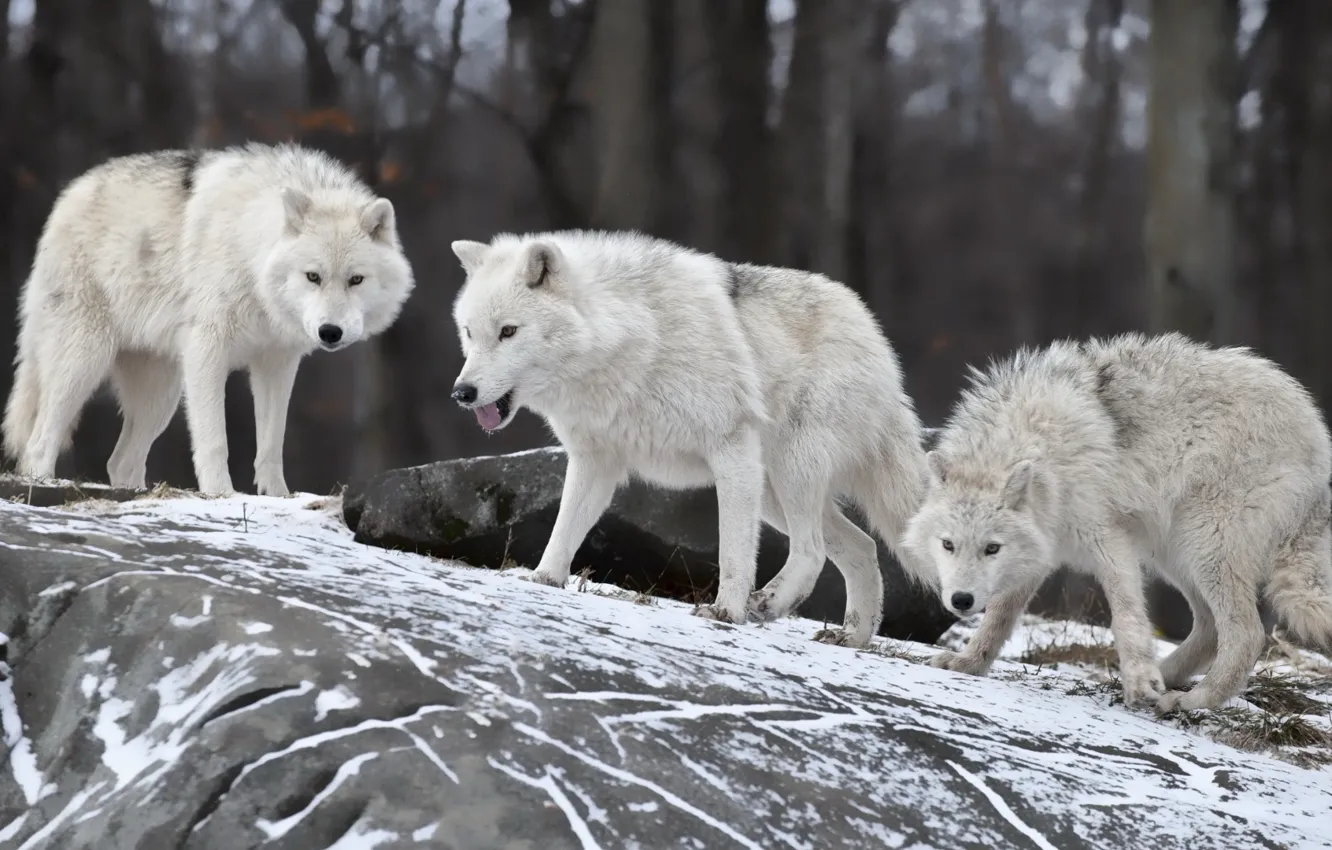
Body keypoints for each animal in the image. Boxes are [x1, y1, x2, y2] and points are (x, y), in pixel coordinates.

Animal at [2, 143, 415, 496]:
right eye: (313, 276)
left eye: (356, 279)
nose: (330, 332)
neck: (250, 253)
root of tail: (68, 195)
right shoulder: (207, 351)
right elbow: (215, 440)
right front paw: (221, 494)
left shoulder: (277, 363)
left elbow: (271, 444)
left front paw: (278, 496)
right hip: (85, 363)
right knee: (39, 442)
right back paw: (43, 483)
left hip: (160, 396)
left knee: (120, 461)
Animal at [447, 230, 929, 647]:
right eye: (470, 332)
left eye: (508, 331)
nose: (462, 393)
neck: (630, 341)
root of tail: (874, 334)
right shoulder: (595, 461)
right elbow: (564, 530)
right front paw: (544, 581)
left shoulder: (731, 450)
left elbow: (733, 551)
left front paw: (726, 612)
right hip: (772, 490)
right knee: (862, 546)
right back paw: (853, 637)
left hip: (787, 472)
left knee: (811, 551)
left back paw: (769, 605)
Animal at [902, 331, 1332, 712]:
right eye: (948, 545)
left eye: (991, 548)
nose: (960, 601)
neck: (1042, 447)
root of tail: (1316, 431)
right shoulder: (1040, 551)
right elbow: (998, 618)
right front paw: (968, 663)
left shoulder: (1108, 540)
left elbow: (1125, 617)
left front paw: (1140, 680)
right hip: (1174, 554)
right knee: (1211, 629)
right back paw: (1166, 677)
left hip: (1202, 546)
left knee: (1246, 635)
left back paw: (1192, 700)